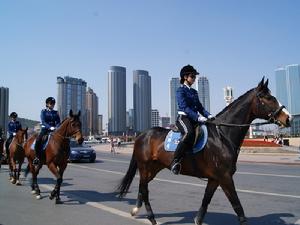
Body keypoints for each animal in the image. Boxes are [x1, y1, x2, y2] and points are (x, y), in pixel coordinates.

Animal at [116, 78, 290, 225]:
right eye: (268, 98)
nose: (288, 118)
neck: (222, 135)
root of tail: (142, 135)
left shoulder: (215, 178)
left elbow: (205, 202)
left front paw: (197, 220)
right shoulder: (225, 177)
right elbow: (237, 206)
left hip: (153, 168)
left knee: (142, 186)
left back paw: (136, 210)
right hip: (145, 166)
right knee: (144, 189)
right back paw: (151, 217)